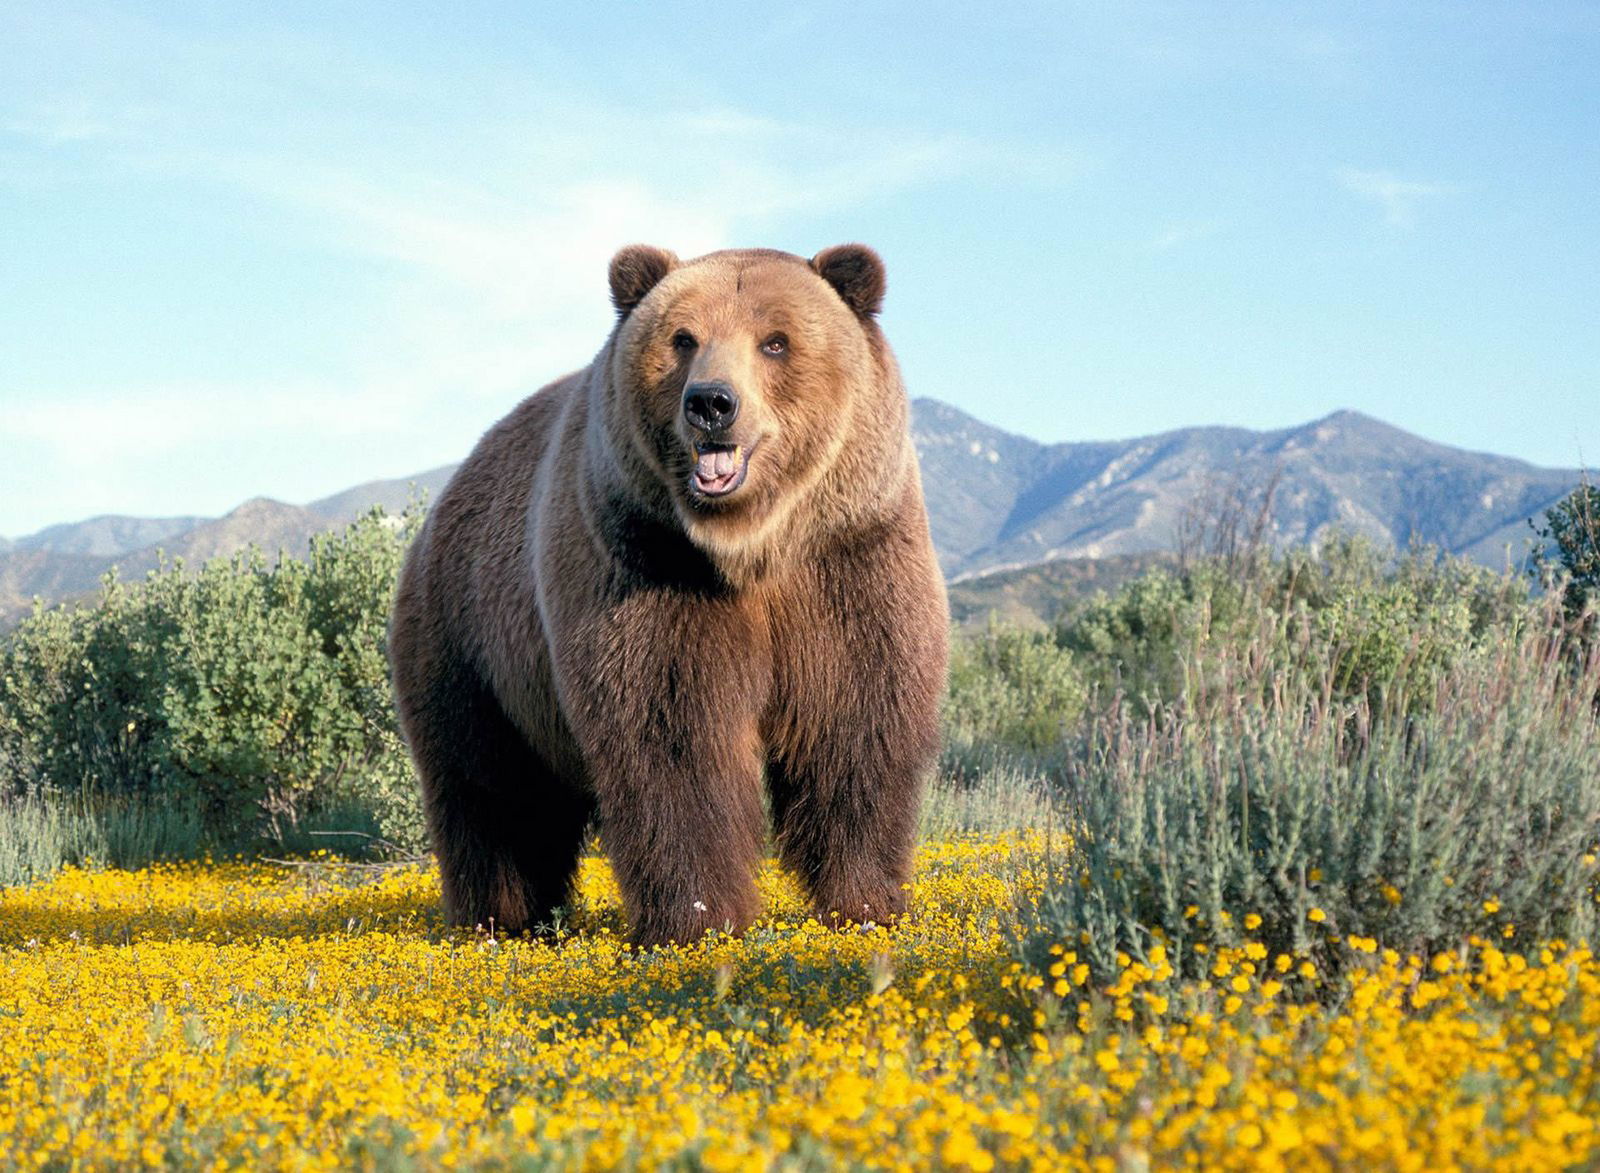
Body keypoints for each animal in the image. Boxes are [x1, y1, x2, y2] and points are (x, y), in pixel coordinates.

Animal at [390, 243, 947, 947]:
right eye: (684, 338)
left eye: (775, 341)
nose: (711, 402)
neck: (751, 546)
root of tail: (444, 500)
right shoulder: (646, 565)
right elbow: (672, 736)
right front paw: (699, 919)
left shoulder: (848, 559)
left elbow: (855, 720)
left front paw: (867, 903)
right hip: (472, 642)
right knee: (491, 788)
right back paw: (499, 919)